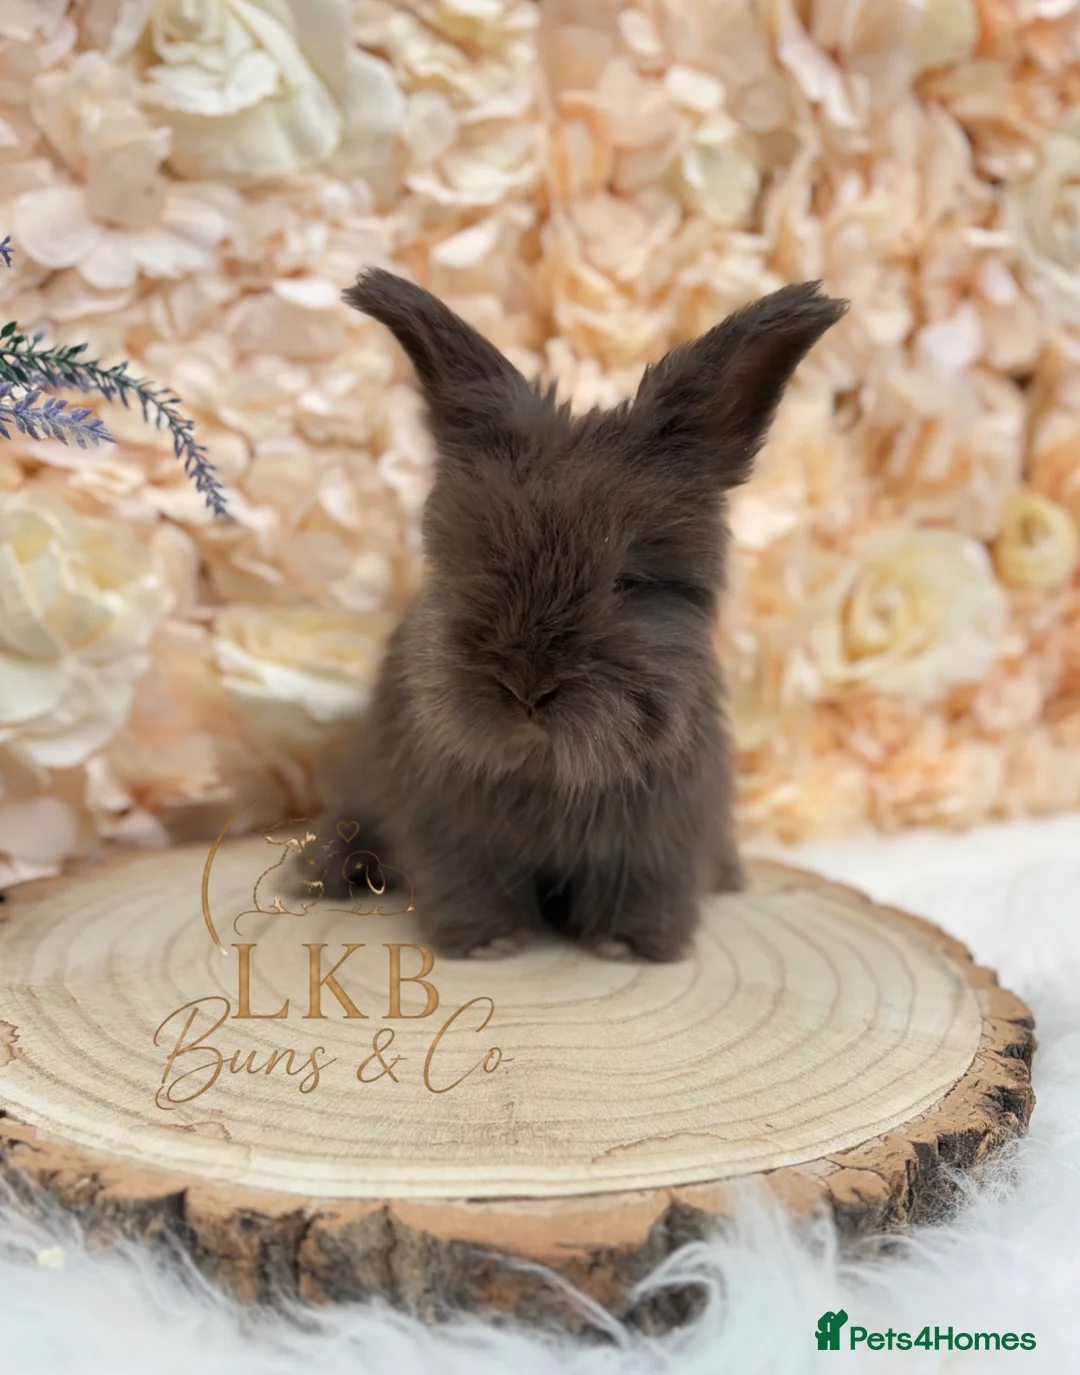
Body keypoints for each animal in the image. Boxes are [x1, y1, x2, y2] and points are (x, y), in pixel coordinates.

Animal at [301, 268, 847, 962]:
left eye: (626, 582)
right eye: (475, 560)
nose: (527, 689)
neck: (549, 768)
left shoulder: (655, 841)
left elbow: (641, 885)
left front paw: (629, 944)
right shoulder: (455, 833)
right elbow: (469, 880)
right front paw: (491, 942)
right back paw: (314, 872)